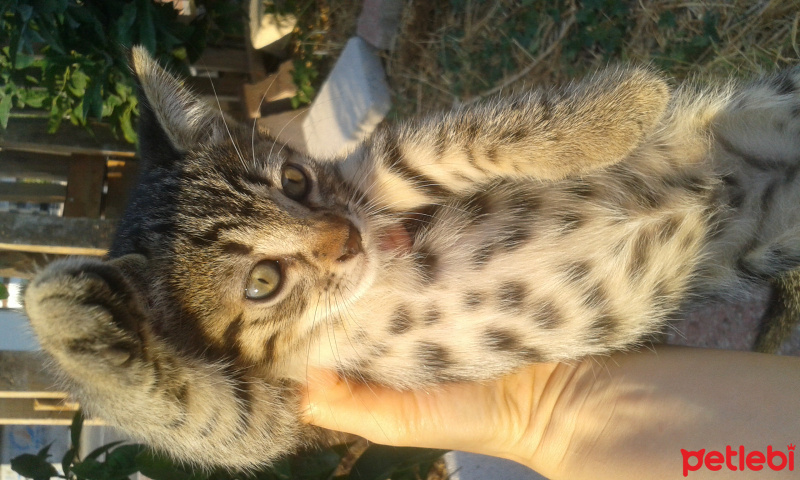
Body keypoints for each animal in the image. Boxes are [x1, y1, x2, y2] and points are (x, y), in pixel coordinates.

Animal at [25, 48, 800, 468]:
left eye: (296, 181)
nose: (348, 240)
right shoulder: (288, 408)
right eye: (263, 282)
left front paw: (613, 113)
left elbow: (454, 143)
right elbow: (202, 413)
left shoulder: (372, 176)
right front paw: (63, 319)